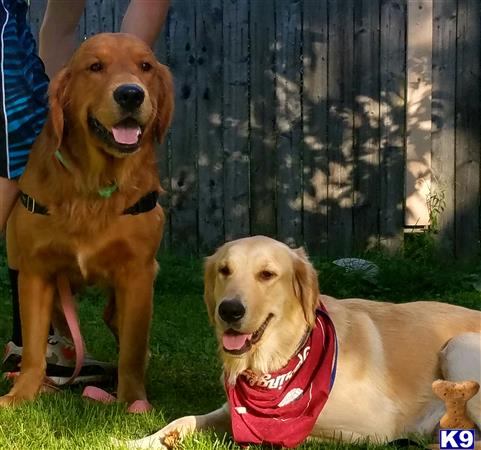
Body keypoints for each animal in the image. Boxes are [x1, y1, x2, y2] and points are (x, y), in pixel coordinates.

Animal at [0, 33, 172, 406]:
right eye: (95, 67)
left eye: (146, 66)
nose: (130, 94)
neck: (93, 183)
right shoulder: (36, 271)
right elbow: (33, 347)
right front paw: (22, 393)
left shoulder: (137, 274)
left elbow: (132, 350)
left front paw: (132, 401)